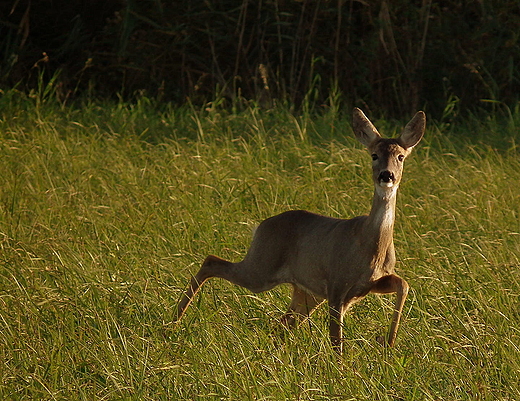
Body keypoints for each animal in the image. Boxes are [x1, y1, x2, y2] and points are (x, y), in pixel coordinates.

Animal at [173, 107, 424, 354]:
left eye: (400, 156)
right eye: (374, 155)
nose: (386, 175)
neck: (370, 245)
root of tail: (261, 226)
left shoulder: (369, 283)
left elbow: (403, 284)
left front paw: (388, 342)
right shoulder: (336, 283)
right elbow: (336, 340)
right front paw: (343, 365)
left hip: (305, 292)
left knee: (281, 324)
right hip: (262, 267)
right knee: (211, 260)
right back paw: (174, 321)